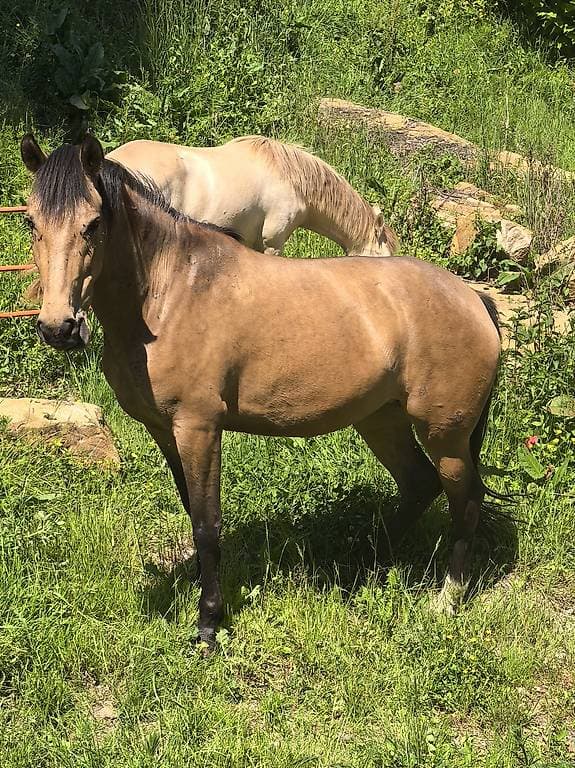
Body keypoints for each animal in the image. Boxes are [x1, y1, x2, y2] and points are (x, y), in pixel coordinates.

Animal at [21, 133, 501, 650]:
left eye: (92, 224)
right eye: (31, 221)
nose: (58, 327)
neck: (170, 293)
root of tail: (474, 298)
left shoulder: (199, 428)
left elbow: (206, 523)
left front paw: (209, 622)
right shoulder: (163, 431)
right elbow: (191, 509)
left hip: (445, 437)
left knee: (465, 500)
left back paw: (447, 598)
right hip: (381, 420)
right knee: (418, 485)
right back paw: (366, 563)